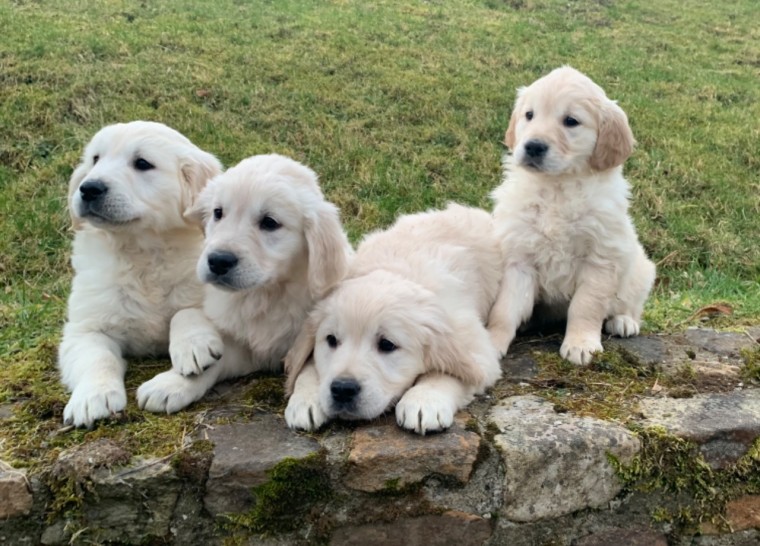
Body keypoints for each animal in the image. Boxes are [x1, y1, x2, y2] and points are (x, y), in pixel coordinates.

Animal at [58, 121, 223, 428]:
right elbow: (96, 356)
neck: (141, 253)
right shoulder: (85, 328)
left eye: (142, 163)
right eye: (95, 159)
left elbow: (187, 311)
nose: (89, 188)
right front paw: (93, 397)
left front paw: (194, 345)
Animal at [136, 151, 350, 410]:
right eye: (218, 213)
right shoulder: (248, 351)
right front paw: (172, 384)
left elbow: (310, 362)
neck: (267, 294)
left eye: (270, 222)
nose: (218, 261)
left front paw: (308, 400)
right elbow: (216, 363)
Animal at [282, 204, 502, 434]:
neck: (396, 272)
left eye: (387, 344)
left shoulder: (478, 348)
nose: (342, 389)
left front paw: (424, 401)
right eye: (331, 340)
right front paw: (305, 399)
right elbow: (306, 365)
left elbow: (452, 371)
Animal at [486, 66, 660, 364]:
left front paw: (581, 344)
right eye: (529, 115)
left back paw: (624, 321)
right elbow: (504, 309)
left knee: (629, 304)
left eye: (571, 121)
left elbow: (586, 306)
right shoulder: (518, 257)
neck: (557, 187)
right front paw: (490, 341)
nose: (533, 146)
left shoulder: (600, 258)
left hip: (640, 271)